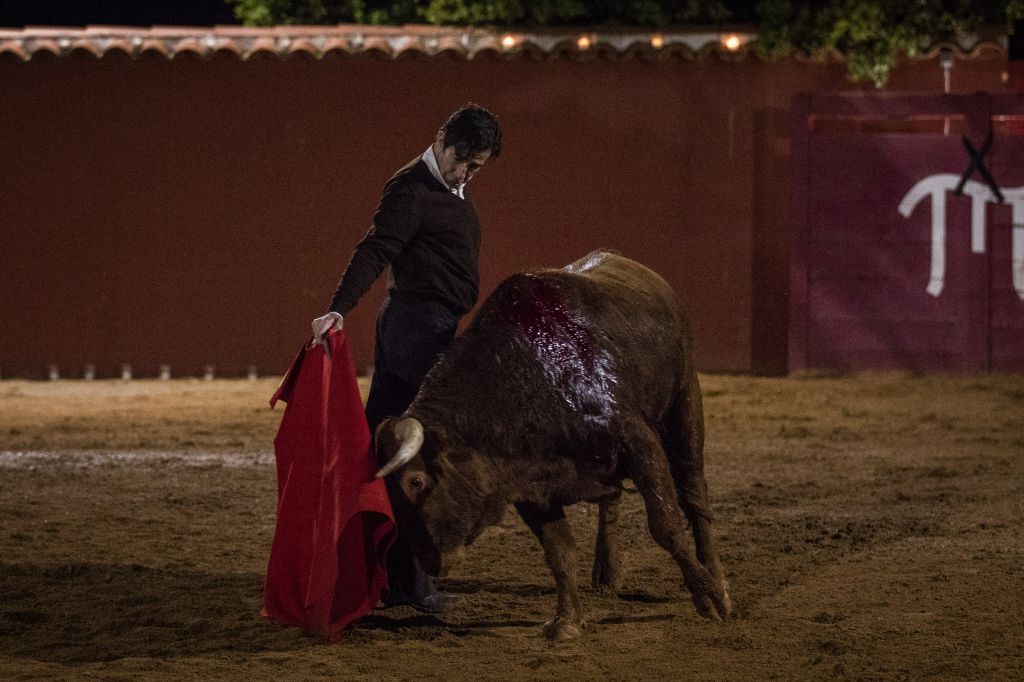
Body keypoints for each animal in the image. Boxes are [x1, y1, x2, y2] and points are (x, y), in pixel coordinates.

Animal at [374, 249, 729, 638]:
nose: (431, 561)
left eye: (416, 481)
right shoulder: (528, 486)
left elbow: (666, 527)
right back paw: (607, 572)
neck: (531, 379)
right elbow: (560, 551)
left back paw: (718, 581)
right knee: (612, 499)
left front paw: (707, 598)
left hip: (686, 401)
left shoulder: (640, 444)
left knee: (694, 491)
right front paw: (567, 621)